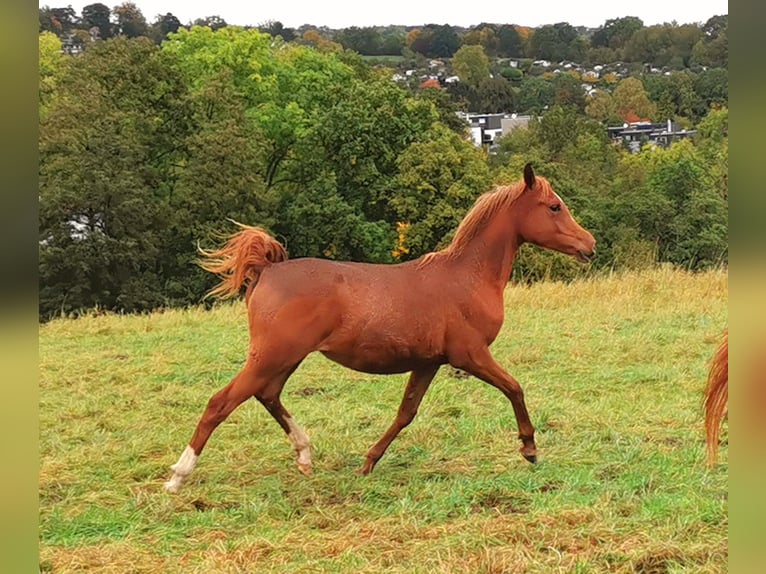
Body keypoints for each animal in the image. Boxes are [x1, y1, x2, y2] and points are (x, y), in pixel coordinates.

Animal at [165, 164, 600, 492]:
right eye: (554, 206)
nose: (590, 245)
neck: (467, 277)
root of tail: (267, 269)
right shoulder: (470, 355)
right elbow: (514, 388)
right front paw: (530, 448)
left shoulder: (428, 362)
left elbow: (406, 413)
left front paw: (368, 462)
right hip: (272, 355)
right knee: (220, 403)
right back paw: (178, 476)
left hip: (284, 358)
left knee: (267, 395)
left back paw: (304, 455)